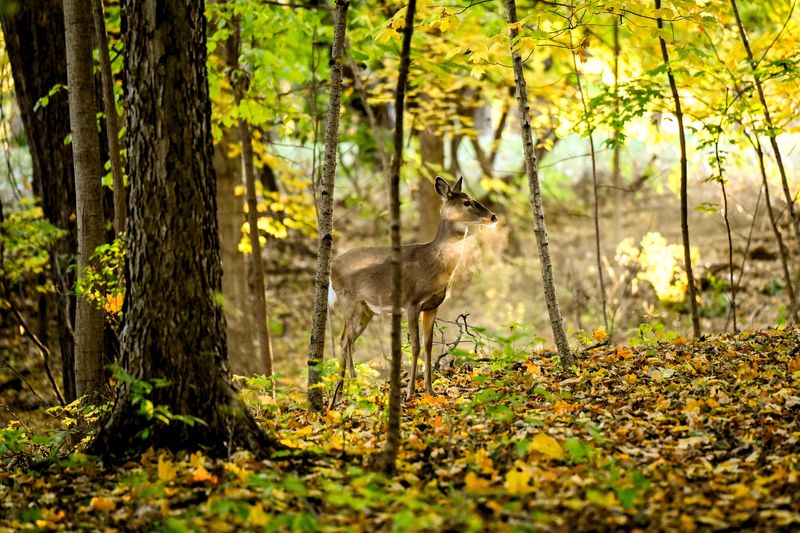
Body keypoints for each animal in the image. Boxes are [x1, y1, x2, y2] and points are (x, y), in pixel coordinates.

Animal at [328, 176, 497, 400]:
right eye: (466, 202)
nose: (493, 216)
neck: (432, 263)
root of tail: (332, 266)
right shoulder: (411, 302)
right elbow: (415, 346)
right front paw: (410, 392)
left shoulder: (432, 306)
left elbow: (428, 345)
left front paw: (430, 390)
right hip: (349, 300)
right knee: (347, 342)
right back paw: (353, 387)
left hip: (366, 309)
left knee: (344, 340)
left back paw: (340, 394)